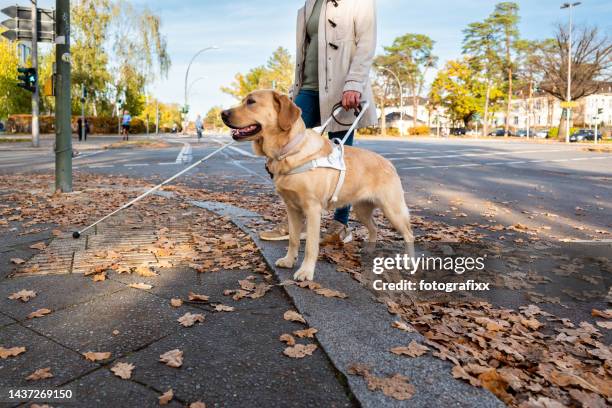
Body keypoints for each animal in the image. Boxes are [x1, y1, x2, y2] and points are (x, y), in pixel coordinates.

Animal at [222, 90, 414, 280]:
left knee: (409, 235)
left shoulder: (313, 209)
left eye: (251, 102)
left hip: (393, 210)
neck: (289, 150)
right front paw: (289, 260)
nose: (222, 113)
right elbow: (293, 239)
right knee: (374, 228)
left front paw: (306, 271)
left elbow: (310, 246)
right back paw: (369, 250)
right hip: (362, 210)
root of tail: (389, 163)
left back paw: (409, 262)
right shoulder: (292, 208)